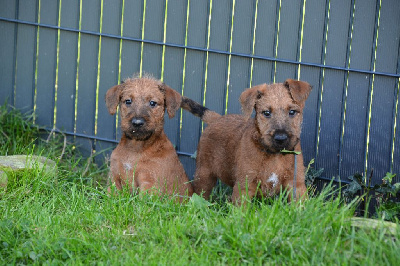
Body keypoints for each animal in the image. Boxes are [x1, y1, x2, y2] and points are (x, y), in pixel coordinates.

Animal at [181, 79, 312, 204]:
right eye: (266, 113)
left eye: (292, 112)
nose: (281, 138)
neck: (275, 155)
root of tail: (217, 118)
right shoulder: (244, 186)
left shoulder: (296, 184)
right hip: (204, 173)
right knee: (200, 194)